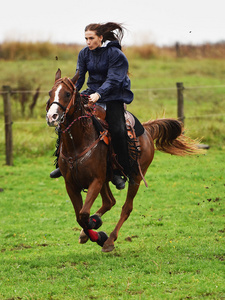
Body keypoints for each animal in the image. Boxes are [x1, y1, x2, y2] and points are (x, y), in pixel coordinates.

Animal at [46, 69, 198, 252]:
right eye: (50, 93)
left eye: (68, 94)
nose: (52, 117)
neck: (79, 141)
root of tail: (146, 130)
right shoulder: (71, 185)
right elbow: (79, 216)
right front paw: (91, 230)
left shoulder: (96, 181)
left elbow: (83, 215)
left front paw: (98, 233)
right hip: (107, 179)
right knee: (109, 202)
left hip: (136, 177)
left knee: (126, 208)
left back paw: (110, 240)